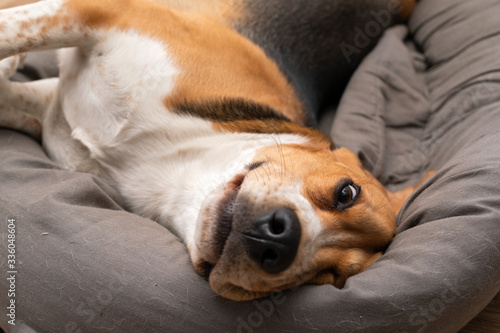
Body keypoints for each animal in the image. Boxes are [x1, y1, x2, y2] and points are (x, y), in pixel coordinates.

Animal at [0, 0, 424, 300]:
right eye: (346, 193)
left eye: (330, 277)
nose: (281, 240)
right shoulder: (97, 12)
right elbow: (10, 30)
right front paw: (14, 57)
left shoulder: (48, 109)